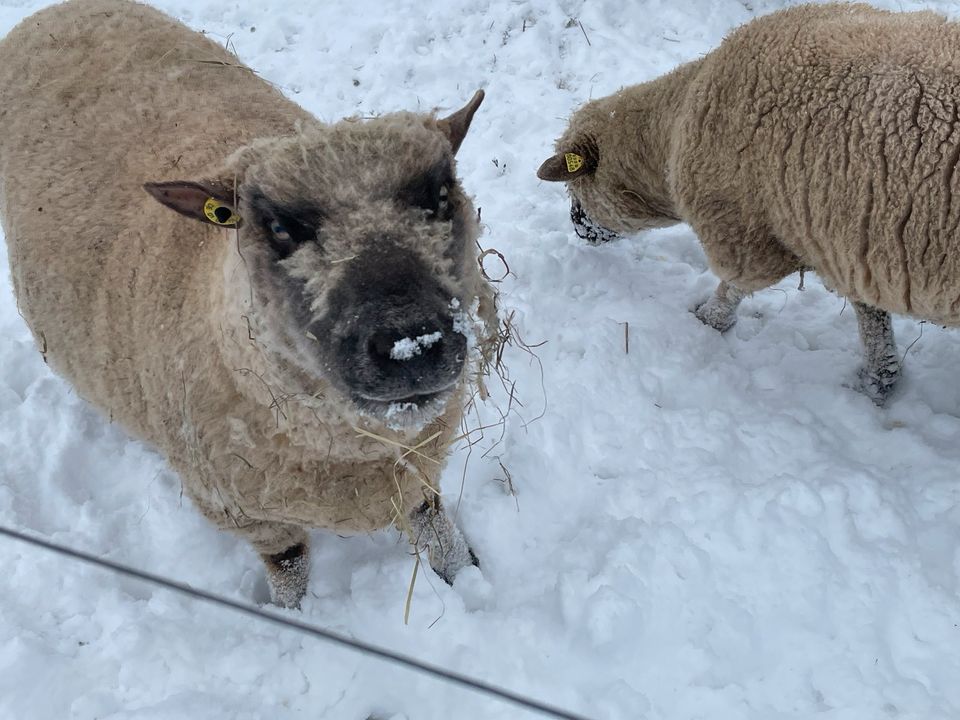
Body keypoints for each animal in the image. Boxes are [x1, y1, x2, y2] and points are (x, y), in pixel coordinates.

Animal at [0, 0, 496, 608]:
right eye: (279, 227)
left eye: (441, 196)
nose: (412, 345)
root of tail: (56, 9)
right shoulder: (248, 515)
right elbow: (291, 570)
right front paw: (293, 617)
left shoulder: (417, 467)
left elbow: (434, 525)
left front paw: (467, 578)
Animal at [536, 2, 960, 402]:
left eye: (574, 187)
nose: (577, 227)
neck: (671, 135)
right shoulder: (850, 244)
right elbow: (870, 313)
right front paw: (880, 377)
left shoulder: (744, 228)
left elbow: (734, 286)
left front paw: (708, 320)